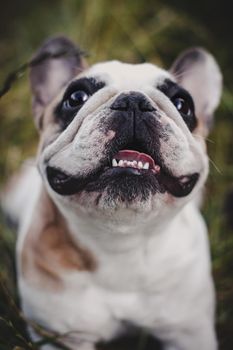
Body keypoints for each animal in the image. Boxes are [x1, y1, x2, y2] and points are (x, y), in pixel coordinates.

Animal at [2, 37, 222, 348]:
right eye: (76, 97)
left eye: (183, 104)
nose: (134, 101)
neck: (121, 240)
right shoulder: (60, 337)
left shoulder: (188, 332)